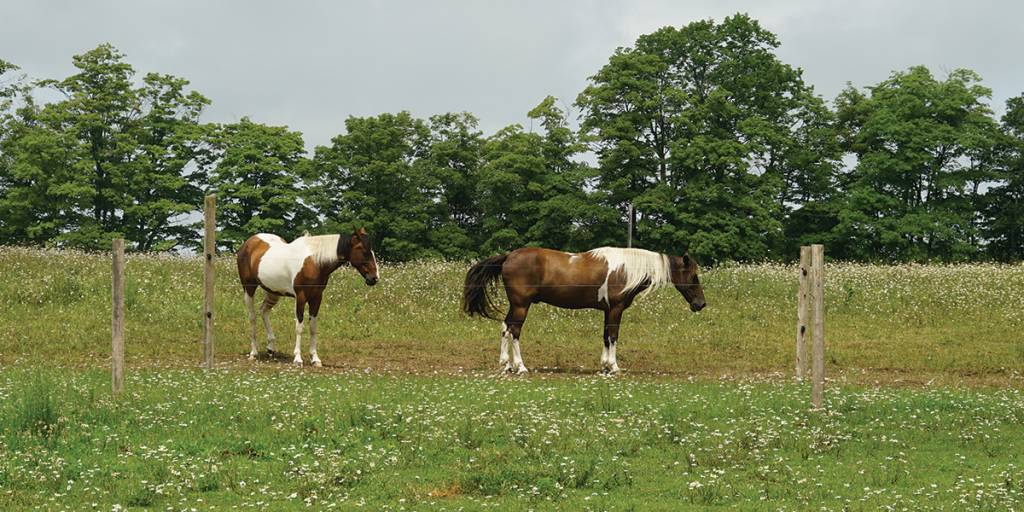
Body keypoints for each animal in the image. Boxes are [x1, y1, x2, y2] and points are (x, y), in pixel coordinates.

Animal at [236, 230, 380, 366]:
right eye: (363, 250)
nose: (374, 278)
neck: (314, 262)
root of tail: (249, 242)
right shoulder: (301, 297)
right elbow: (299, 327)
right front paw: (298, 359)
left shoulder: (316, 298)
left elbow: (313, 327)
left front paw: (315, 359)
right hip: (249, 288)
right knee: (252, 317)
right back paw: (253, 353)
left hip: (273, 291)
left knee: (264, 310)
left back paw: (271, 348)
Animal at [464, 245, 704, 374]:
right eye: (693, 276)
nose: (701, 304)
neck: (626, 269)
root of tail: (508, 256)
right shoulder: (616, 309)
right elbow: (614, 336)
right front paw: (614, 367)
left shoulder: (608, 311)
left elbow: (606, 337)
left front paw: (604, 366)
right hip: (522, 305)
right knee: (514, 331)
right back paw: (521, 367)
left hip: (516, 306)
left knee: (505, 328)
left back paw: (506, 365)